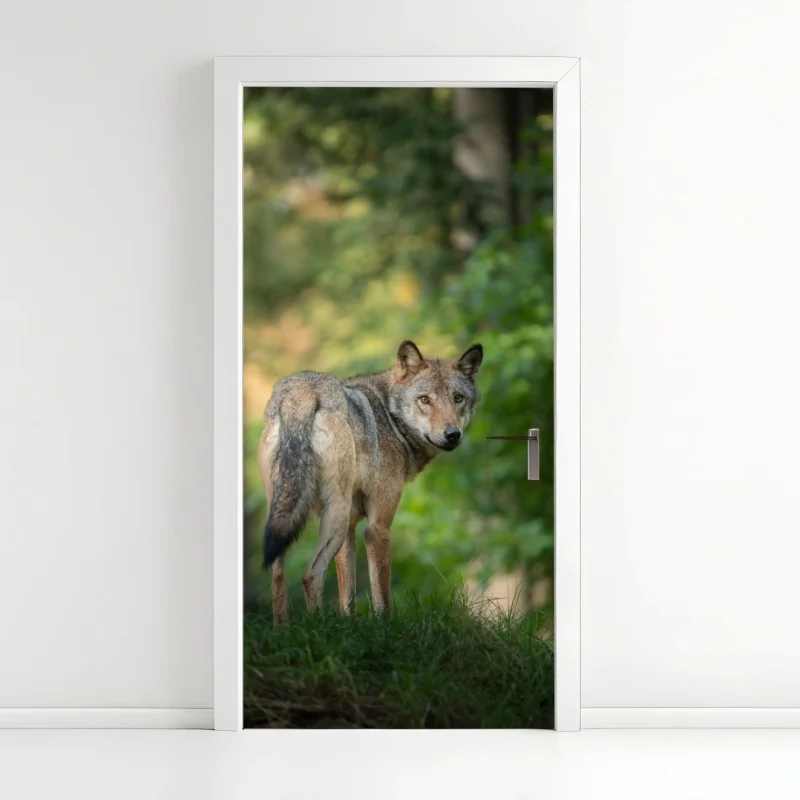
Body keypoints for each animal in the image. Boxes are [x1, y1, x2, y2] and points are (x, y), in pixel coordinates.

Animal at [258, 339, 483, 623]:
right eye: (425, 400)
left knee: (277, 577)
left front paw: (348, 625)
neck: (390, 417)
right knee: (310, 574)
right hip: (335, 517)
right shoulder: (377, 527)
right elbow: (381, 596)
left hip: (285, 517)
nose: (452, 434)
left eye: (458, 398)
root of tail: (302, 391)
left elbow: (347, 597)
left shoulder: (351, 530)